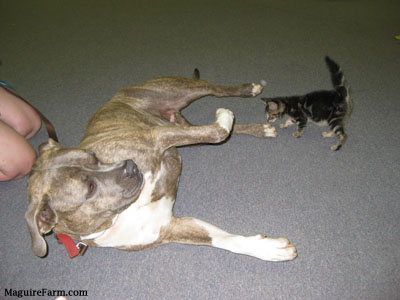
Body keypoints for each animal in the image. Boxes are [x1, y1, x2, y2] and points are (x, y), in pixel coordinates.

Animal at [26, 69, 296, 260]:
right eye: (90, 188)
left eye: (93, 157)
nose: (130, 166)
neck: (123, 212)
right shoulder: (171, 227)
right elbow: (225, 240)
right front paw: (269, 249)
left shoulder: (156, 137)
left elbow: (217, 131)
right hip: (179, 122)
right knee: (214, 128)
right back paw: (259, 128)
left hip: (178, 91)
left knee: (215, 90)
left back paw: (250, 89)